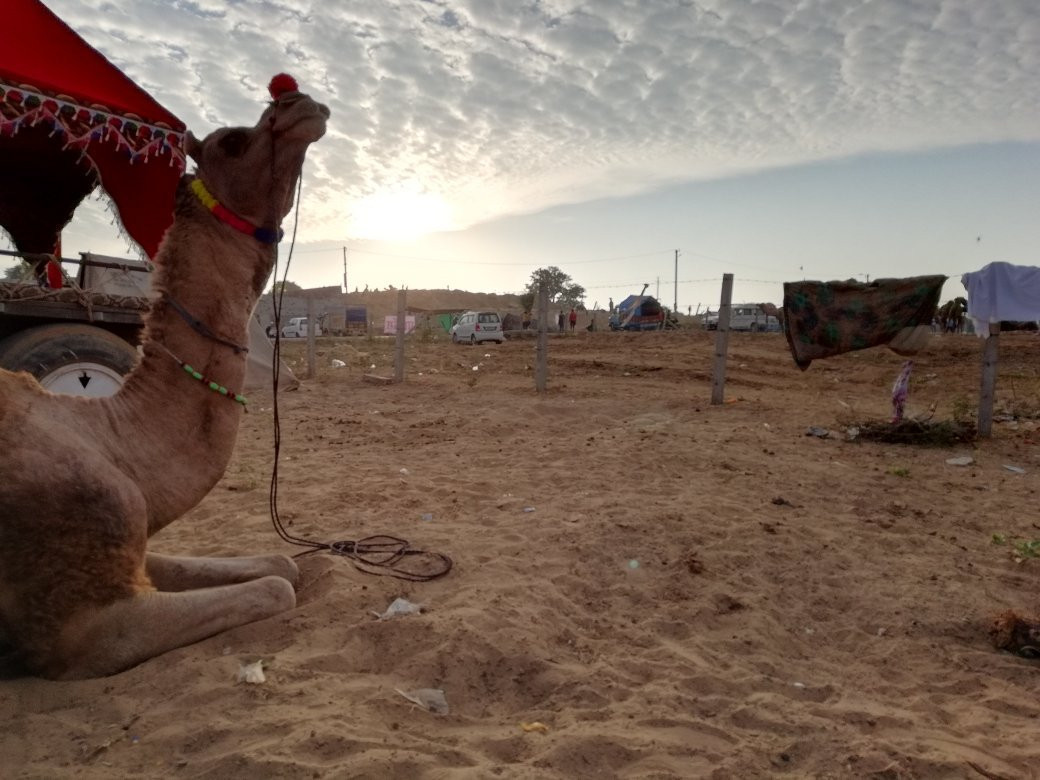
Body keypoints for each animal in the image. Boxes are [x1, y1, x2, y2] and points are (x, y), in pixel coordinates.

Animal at [0, 76, 328, 682]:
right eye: (233, 141)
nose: (300, 102)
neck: (111, 437)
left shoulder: (135, 542)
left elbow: (280, 562)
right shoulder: (83, 627)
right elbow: (277, 585)